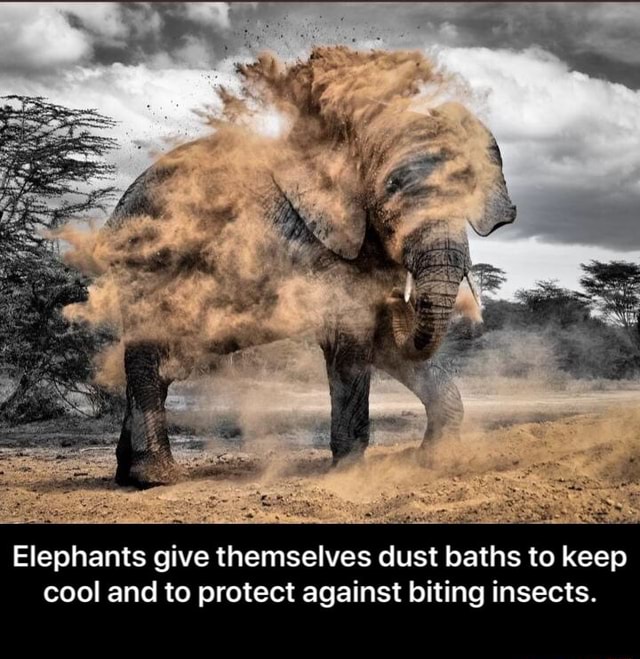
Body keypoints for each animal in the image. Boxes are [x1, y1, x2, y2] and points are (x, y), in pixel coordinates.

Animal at [73, 48, 516, 488]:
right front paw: (350, 472)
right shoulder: (322, 242)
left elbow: (386, 345)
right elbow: (351, 341)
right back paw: (156, 477)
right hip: (146, 263)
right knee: (149, 360)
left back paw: (127, 475)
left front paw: (431, 460)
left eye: (469, 190)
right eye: (391, 190)